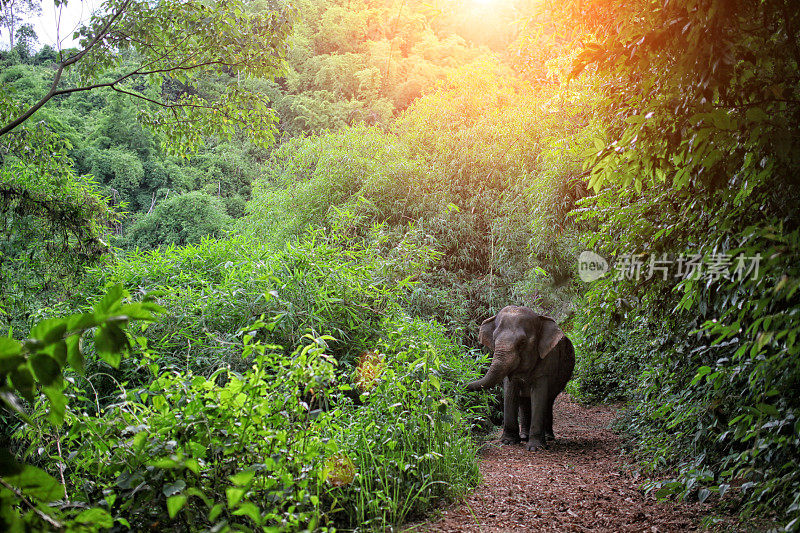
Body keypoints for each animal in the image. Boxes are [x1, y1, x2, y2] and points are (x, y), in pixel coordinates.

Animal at [466, 306, 572, 450]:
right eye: (494, 338)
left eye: (522, 342)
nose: (460, 384)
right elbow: (510, 391)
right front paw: (508, 442)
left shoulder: (547, 361)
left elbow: (539, 395)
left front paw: (535, 448)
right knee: (524, 401)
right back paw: (524, 437)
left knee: (549, 400)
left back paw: (548, 438)